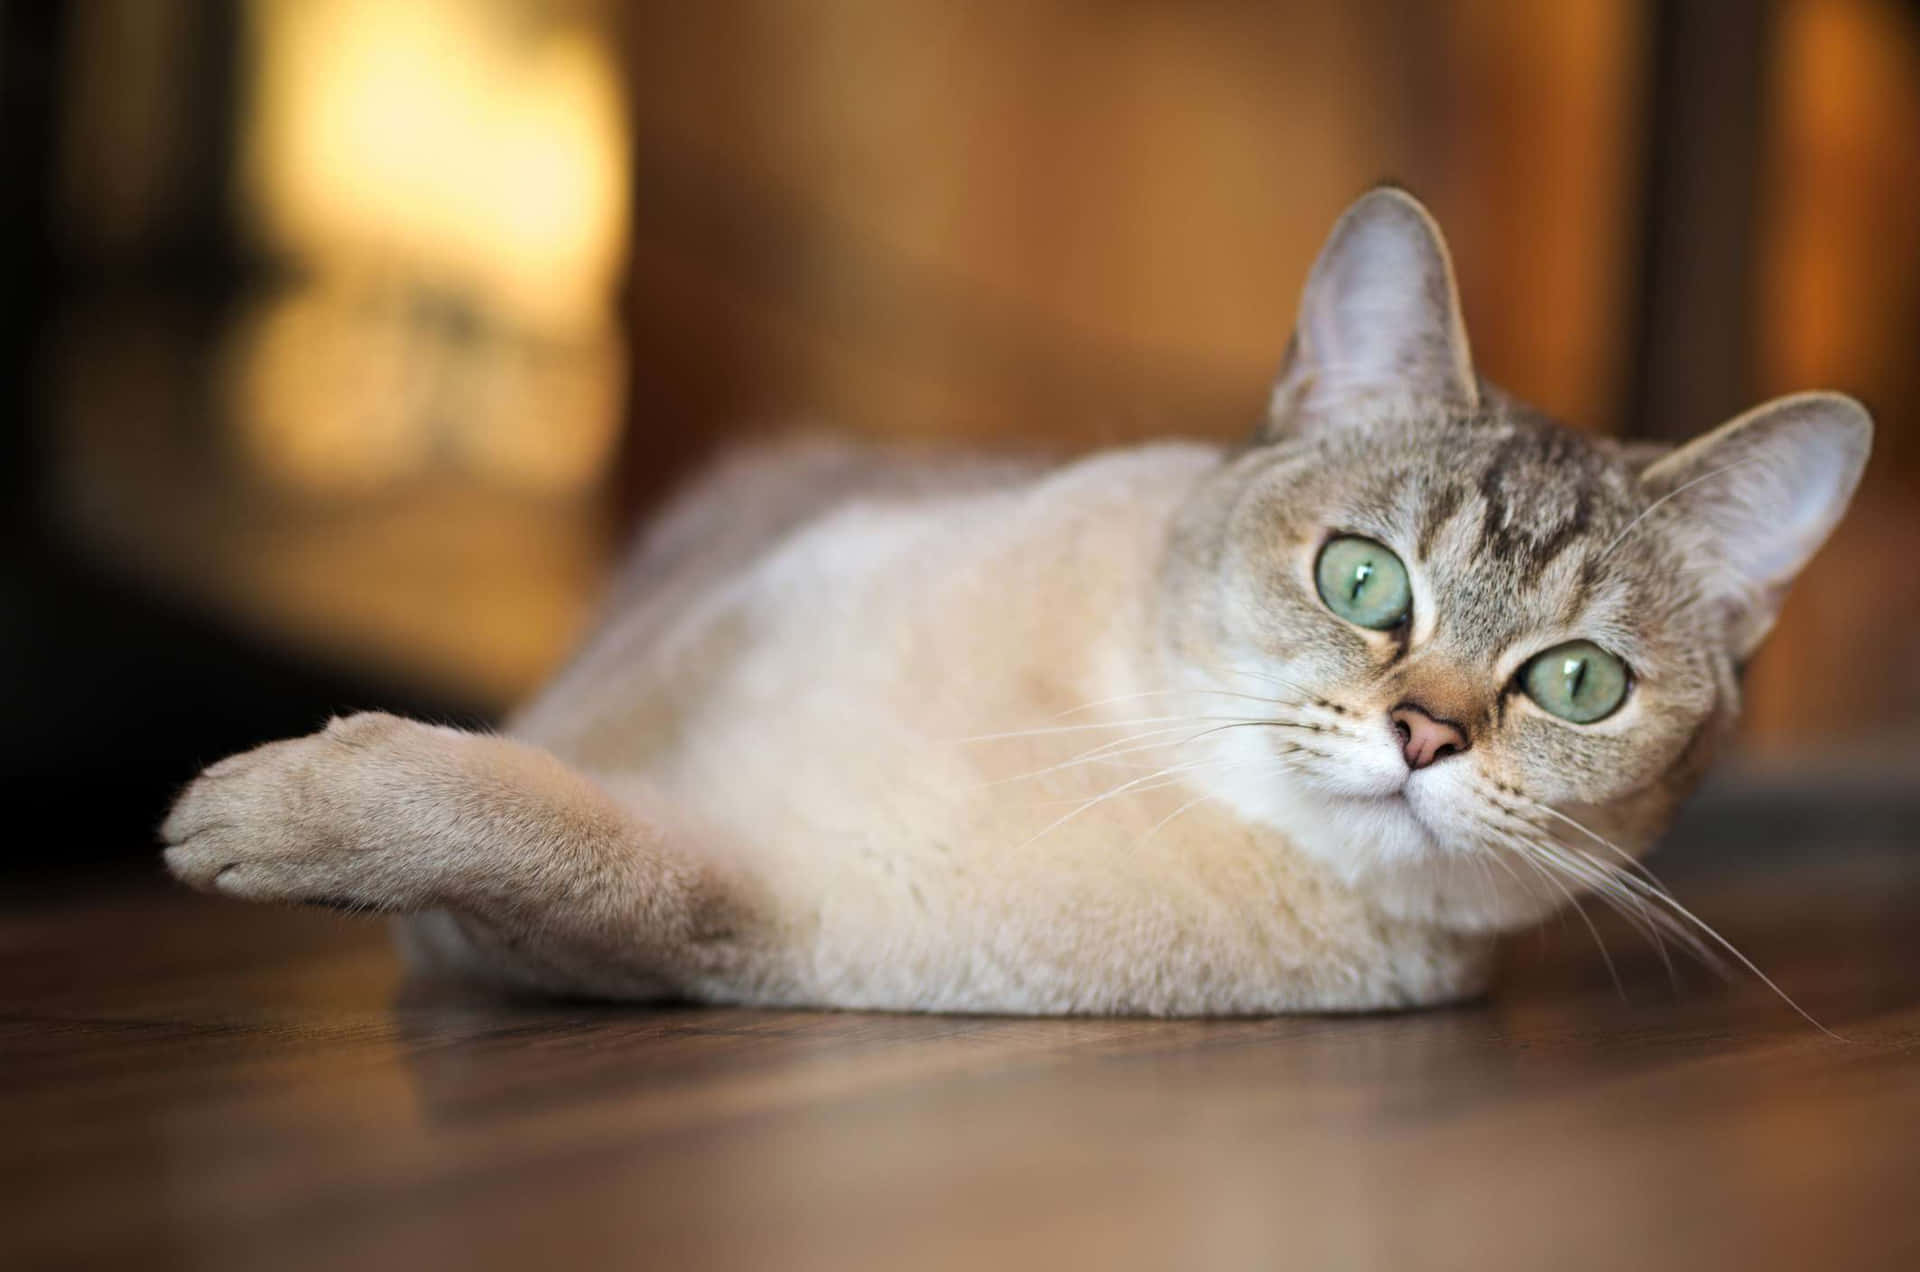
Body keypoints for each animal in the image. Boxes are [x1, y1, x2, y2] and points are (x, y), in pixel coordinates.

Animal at [165, 189, 1873, 1022]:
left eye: (1578, 684)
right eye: (1363, 578)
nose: (1426, 739)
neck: (1121, 756)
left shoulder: (741, 922)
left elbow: (570, 847)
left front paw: (279, 814)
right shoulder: (686, 651)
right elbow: (538, 777)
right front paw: (285, 804)